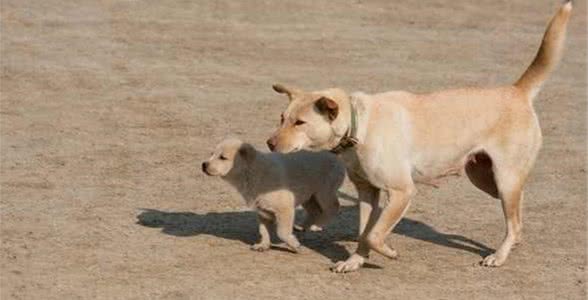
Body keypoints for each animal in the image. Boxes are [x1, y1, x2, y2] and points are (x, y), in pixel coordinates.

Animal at [202, 139, 344, 252]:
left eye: (222, 157)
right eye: (212, 154)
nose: (203, 165)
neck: (252, 171)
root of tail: (333, 154)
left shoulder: (285, 209)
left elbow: (282, 232)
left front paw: (294, 245)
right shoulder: (263, 211)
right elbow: (263, 231)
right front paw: (263, 245)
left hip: (324, 191)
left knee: (333, 207)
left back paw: (317, 225)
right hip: (309, 195)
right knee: (314, 211)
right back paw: (303, 227)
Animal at [268, 0, 572, 272]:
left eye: (300, 122)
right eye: (283, 118)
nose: (269, 144)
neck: (360, 124)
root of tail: (517, 90)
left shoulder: (401, 192)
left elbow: (374, 234)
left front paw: (388, 251)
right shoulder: (368, 193)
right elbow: (365, 232)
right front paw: (355, 262)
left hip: (505, 180)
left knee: (514, 221)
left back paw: (499, 255)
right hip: (488, 180)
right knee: (517, 217)